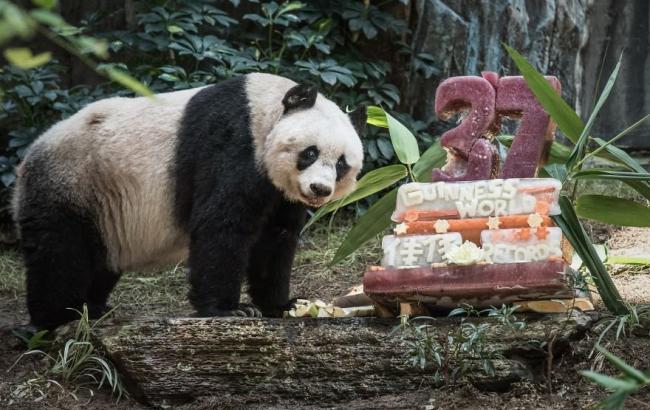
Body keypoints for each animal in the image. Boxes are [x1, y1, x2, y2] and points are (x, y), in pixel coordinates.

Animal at [12, 73, 364, 330]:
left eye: (341, 164)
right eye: (310, 153)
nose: (319, 189)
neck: (263, 112)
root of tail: (28, 156)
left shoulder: (279, 191)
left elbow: (275, 239)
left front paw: (283, 304)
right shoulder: (232, 144)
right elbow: (222, 225)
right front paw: (230, 310)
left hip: (104, 208)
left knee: (99, 260)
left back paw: (94, 307)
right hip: (72, 182)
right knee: (60, 252)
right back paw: (59, 317)